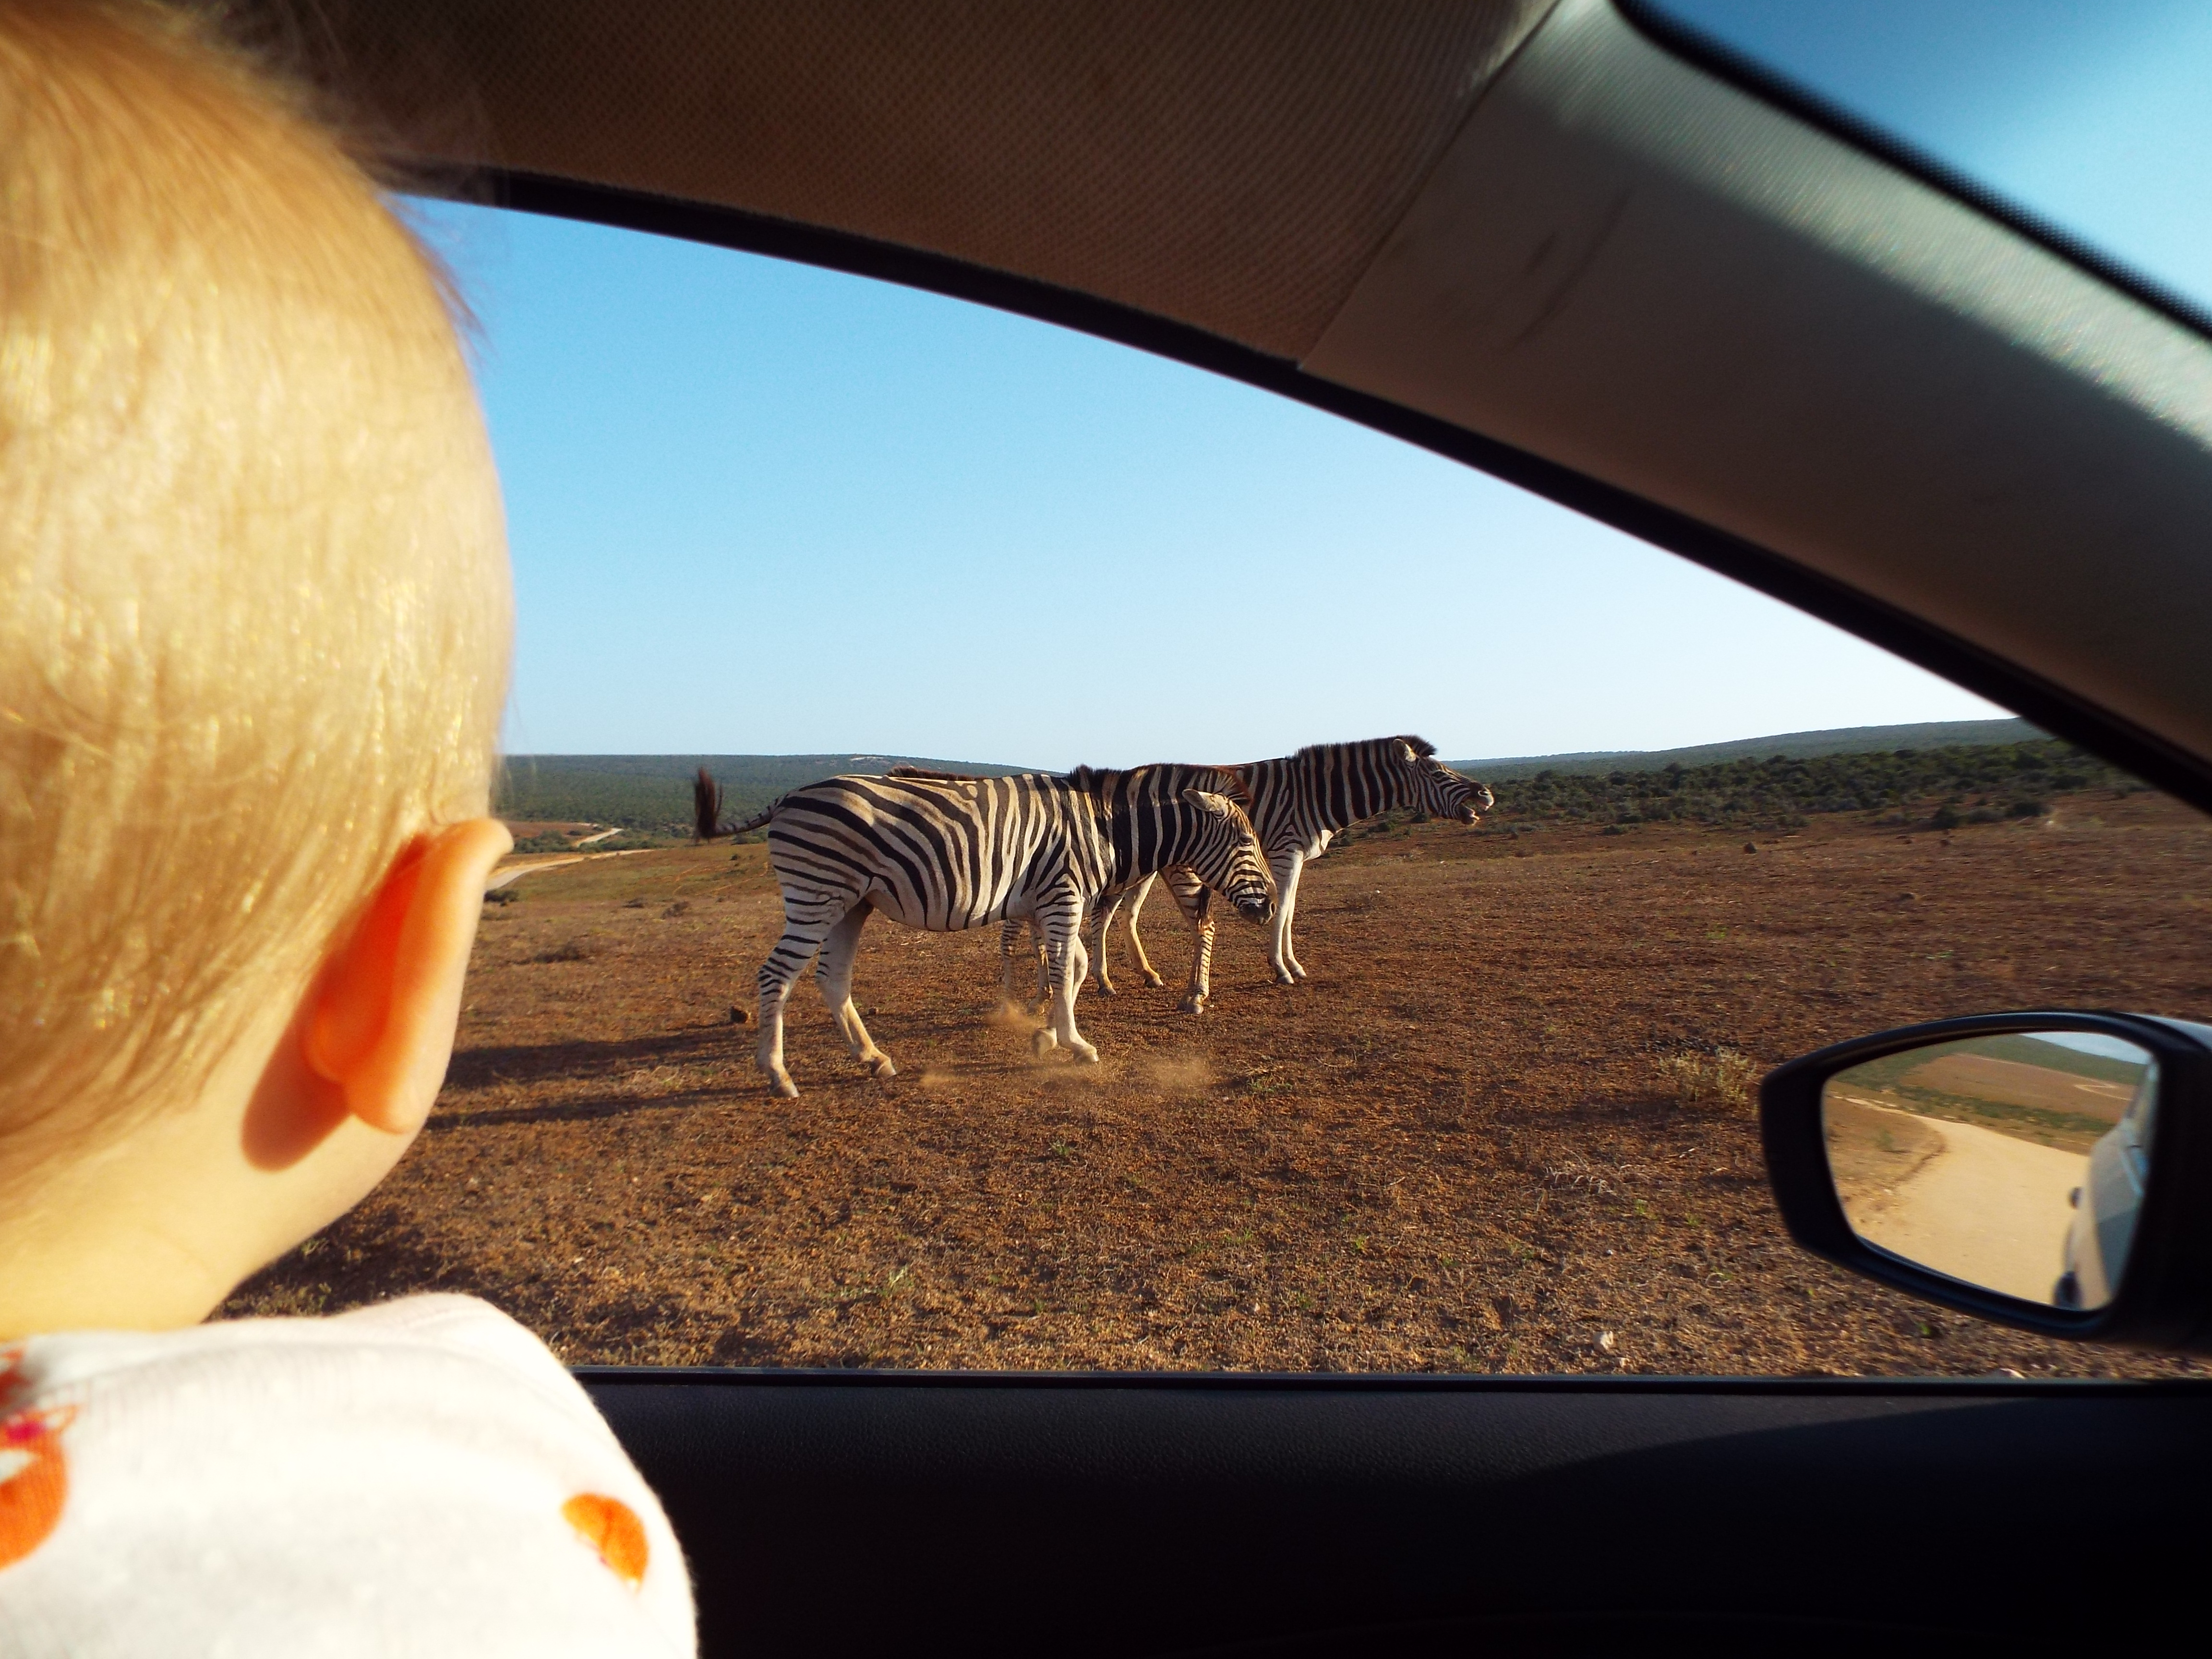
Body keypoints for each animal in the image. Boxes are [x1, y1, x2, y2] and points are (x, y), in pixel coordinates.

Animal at [690, 765, 1283, 1106]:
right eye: (1247, 843)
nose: (1274, 906)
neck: (1102, 828)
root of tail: (789, 795)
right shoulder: (1063, 895)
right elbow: (1065, 967)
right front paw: (1075, 1044)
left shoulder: (1047, 901)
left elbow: (1071, 968)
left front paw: (1047, 1036)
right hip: (818, 894)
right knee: (776, 975)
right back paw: (777, 1074)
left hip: (851, 904)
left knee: (832, 978)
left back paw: (873, 1058)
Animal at [999, 739, 1486, 1013]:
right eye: (1438, 772)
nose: (1485, 794)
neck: (1313, 794)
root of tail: (1131, 772)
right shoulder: (1287, 851)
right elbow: (1285, 909)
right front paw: (1283, 968)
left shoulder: (1294, 857)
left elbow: (1290, 910)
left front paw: (1291, 964)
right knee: (1107, 913)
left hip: (1148, 864)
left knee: (1117, 914)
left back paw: (1130, 977)